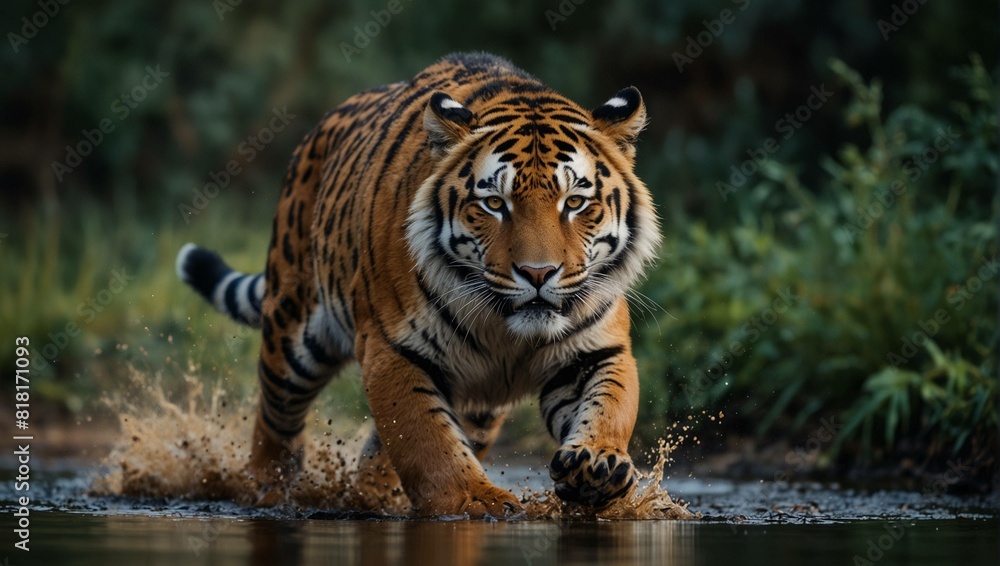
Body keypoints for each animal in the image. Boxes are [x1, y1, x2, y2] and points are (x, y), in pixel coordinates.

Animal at [176, 52, 661, 518]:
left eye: (575, 202)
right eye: (494, 203)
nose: (538, 273)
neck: (505, 328)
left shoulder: (595, 350)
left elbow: (609, 407)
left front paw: (597, 466)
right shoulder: (392, 349)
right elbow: (427, 441)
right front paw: (476, 502)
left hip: (477, 405)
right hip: (292, 337)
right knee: (274, 423)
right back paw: (268, 492)